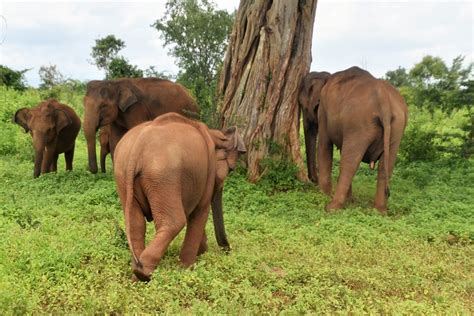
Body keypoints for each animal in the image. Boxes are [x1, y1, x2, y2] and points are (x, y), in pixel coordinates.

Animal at [113, 111, 246, 282]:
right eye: (231, 170)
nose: (228, 250)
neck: (215, 134)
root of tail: (139, 146)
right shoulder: (207, 175)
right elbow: (200, 211)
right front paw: (187, 268)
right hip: (164, 176)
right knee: (174, 221)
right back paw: (143, 273)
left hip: (124, 174)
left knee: (135, 223)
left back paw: (136, 274)